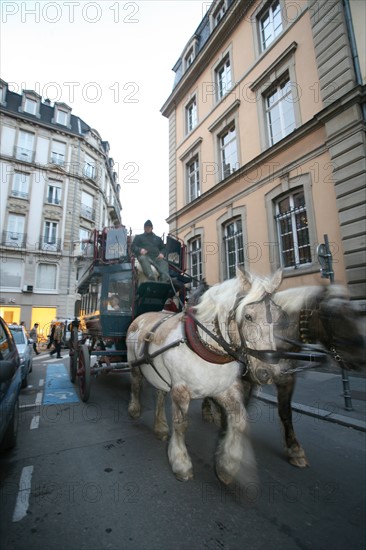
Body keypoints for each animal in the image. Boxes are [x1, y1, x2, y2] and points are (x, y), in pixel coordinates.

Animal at [127, 270, 284, 490]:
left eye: (280, 317)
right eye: (248, 316)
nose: (268, 372)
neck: (204, 345)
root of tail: (142, 316)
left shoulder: (223, 390)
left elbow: (239, 421)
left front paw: (228, 466)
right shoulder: (181, 390)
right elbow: (181, 425)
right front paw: (181, 463)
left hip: (160, 376)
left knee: (159, 394)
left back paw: (160, 427)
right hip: (134, 364)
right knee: (135, 383)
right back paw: (134, 409)